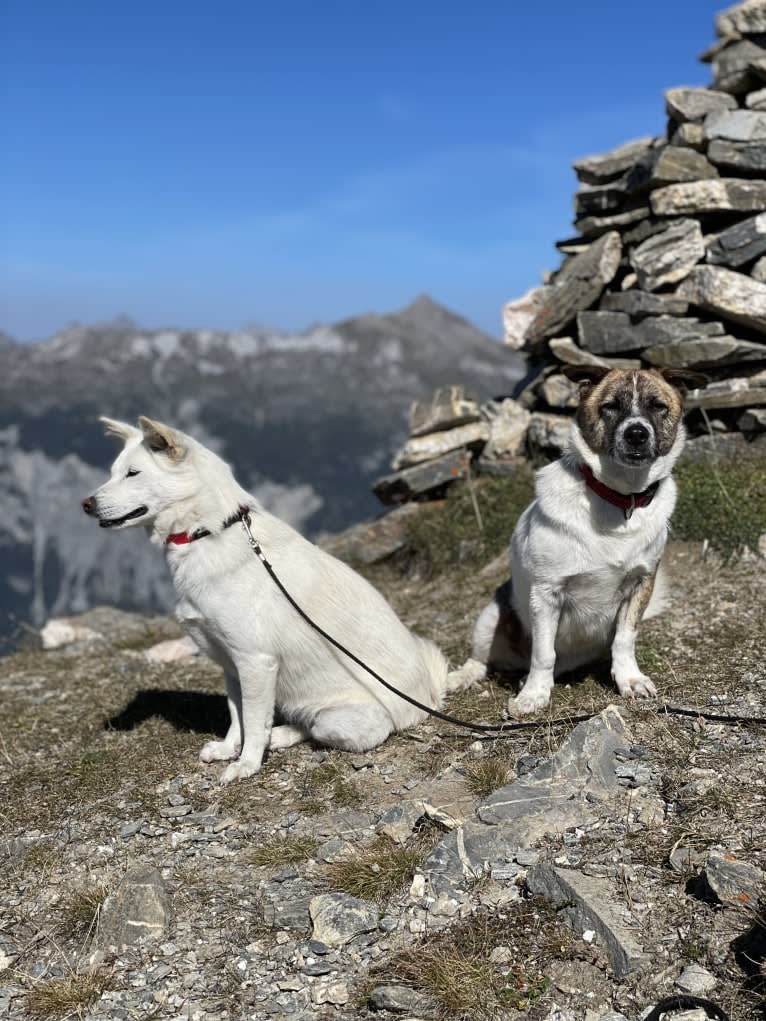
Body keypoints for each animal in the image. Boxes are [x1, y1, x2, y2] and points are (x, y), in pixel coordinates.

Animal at [85, 414, 467, 780]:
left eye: (133, 473)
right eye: (113, 472)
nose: (86, 503)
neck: (205, 531)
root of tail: (428, 696)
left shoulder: (256, 662)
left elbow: (254, 722)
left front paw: (246, 764)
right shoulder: (232, 666)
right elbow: (237, 715)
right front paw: (229, 749)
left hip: (342, 720)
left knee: (315, 728)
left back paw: (278, 736)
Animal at [449, 363, 706, 714]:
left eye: (658, 406)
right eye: (610, 406)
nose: (636, 433)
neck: (619, 499)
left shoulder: (641, 584)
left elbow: (624, 638)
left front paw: (629, 679)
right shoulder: (546, 593)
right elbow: (543, 652)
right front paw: (533, 696)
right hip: (490, 617)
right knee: (482, 660)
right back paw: (463, 678)